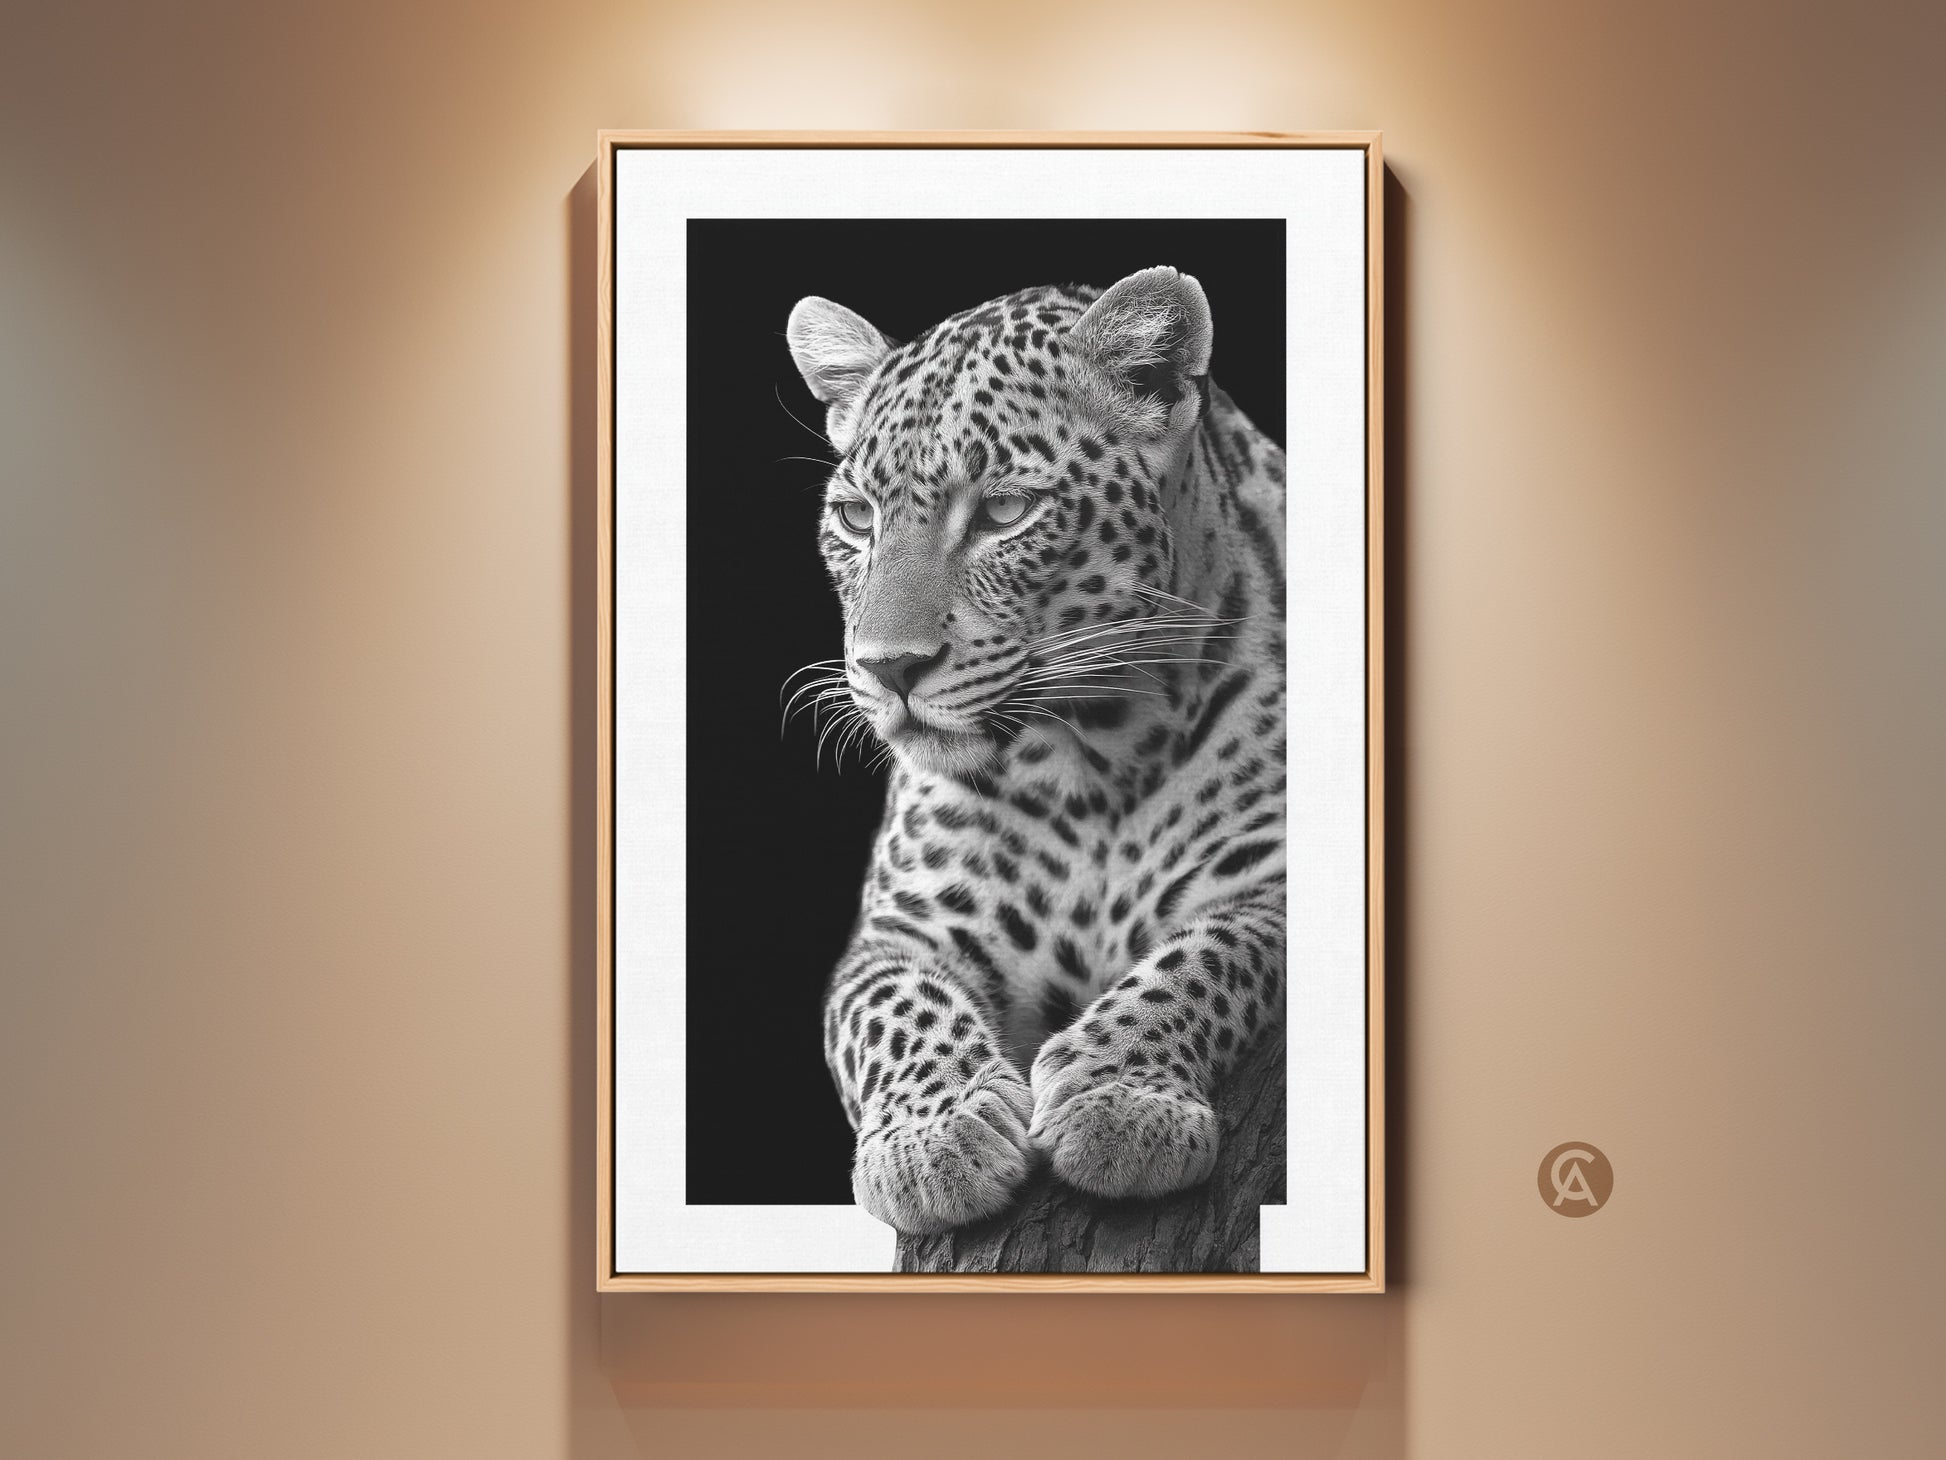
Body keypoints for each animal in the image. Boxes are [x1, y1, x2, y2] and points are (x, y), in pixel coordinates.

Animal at [784, 266, 1287, 1237]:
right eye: (857, 518)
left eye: (1005, 512)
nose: (888, 668)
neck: (1097, 754)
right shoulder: (898, 933)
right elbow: (892, 1007)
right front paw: (934, 1138)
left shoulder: (1270, 887)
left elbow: (1204, 959)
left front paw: (1118, 1097)